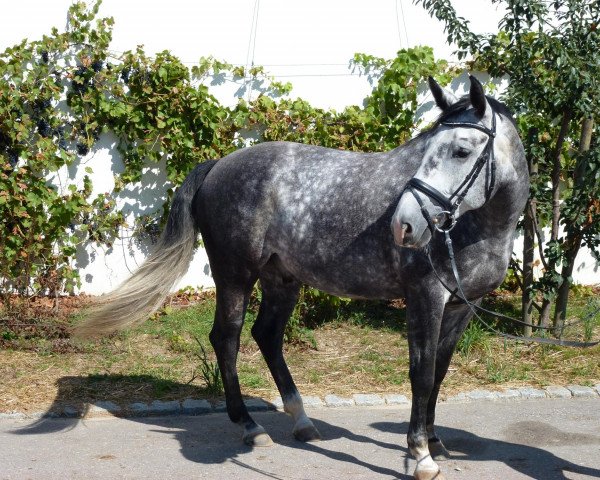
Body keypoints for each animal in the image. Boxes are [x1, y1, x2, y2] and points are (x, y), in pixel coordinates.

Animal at [76, 76, 528, 480]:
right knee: (227, 338)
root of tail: (219, 165)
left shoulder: (462, 306)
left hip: (282, 280)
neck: (479, 227)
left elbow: (439, 373)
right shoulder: (424, 297)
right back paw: (250, 426)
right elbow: (421, 373)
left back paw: (302, 420)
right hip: (235, 276)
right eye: (427, 148)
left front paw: (433, 441)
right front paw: (420, 455)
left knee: (266, 336)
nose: (405, 226)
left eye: (461, 150)